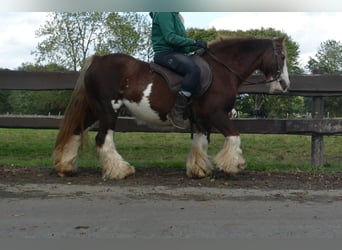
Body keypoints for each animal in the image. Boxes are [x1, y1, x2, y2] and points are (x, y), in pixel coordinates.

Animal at [54, 35, 290, 180]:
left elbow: (200, 143)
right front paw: (234, 165)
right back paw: (120, 170)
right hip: (107, 111)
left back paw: (66, 166)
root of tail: (98, 60)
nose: (285, 85)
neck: (221, 71)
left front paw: (199, 169)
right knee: (103, 139)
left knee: (75, 132)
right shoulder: (216, 114)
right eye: (282, 56)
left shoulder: (203, 120)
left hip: (94, 110)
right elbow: (234, 136)